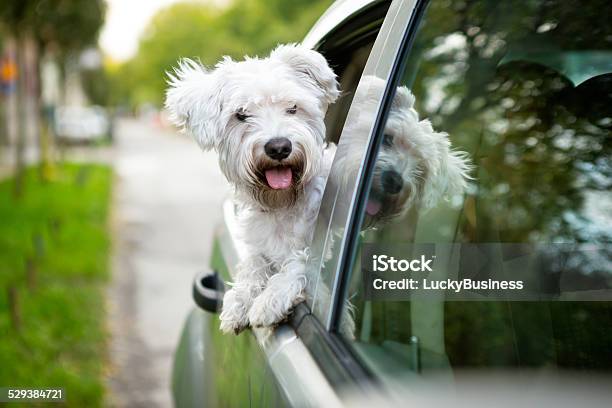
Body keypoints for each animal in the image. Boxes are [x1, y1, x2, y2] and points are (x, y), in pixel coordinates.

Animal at [165, 44, 340, 334]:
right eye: (242, 114)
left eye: (292, 107)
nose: (279, 147)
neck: (282, 203)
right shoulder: (259, 247)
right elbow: (252, 265)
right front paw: (238, 300)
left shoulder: (320, 250)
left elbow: (302, 261)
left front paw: (271, 299)